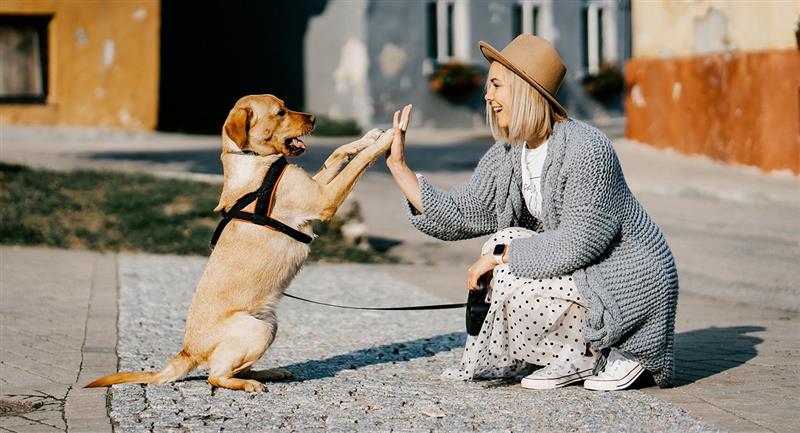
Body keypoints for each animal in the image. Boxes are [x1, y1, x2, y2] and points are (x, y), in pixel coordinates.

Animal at [86, 94, 406, 392]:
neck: (253, 159)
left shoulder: (316, 187)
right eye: (280, 112)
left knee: (235, 369)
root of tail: (187, 352)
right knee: (216, 376)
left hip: (270, 324)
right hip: (257, 330)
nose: (314, 118)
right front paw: (388, 138)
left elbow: (338, 153)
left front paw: (368, 137)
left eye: (286, 106)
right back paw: (249, 384)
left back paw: (270, 373)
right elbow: (358, 164)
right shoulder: (323, 199)